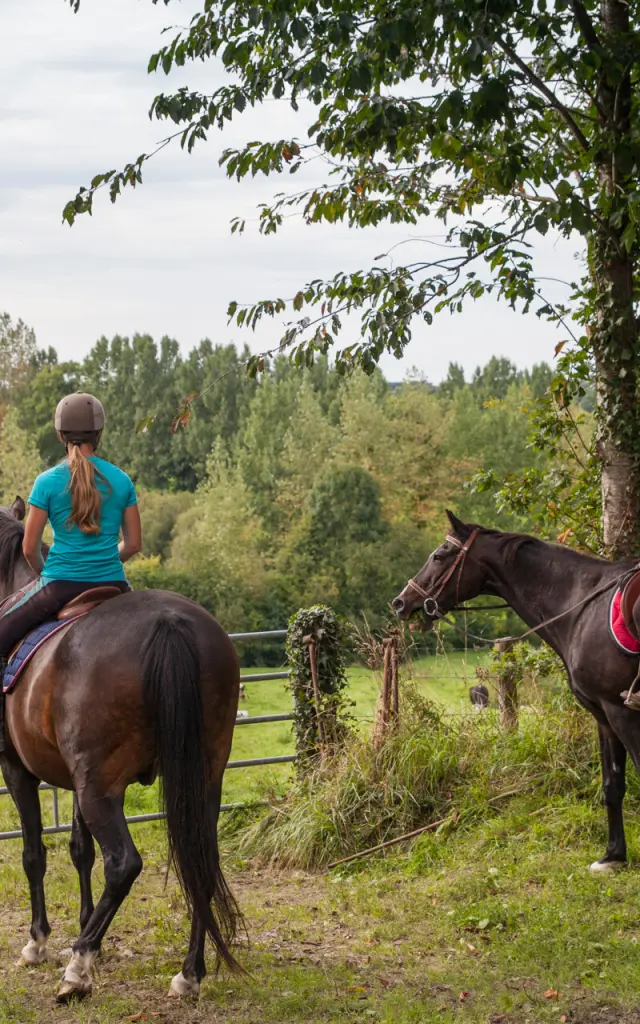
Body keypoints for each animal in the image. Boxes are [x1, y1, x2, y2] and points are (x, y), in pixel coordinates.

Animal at [0, 498, 242, 1002]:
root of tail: (170, 623)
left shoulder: (18, 770)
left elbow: (34, 854)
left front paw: (39, 942)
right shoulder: (74, 779)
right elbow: (79, 850)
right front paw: (86, 927)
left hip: (102, 787)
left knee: (124, 865)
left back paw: (77, 970)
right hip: (203, 775)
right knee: (200, 858)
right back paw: (188, 972)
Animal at [393, 510, 640, 875]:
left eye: (438, 556)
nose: (400, 602)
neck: (581, 606)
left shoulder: (622, 712)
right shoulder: (603, 715)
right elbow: (613, 784)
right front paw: (613, 856)